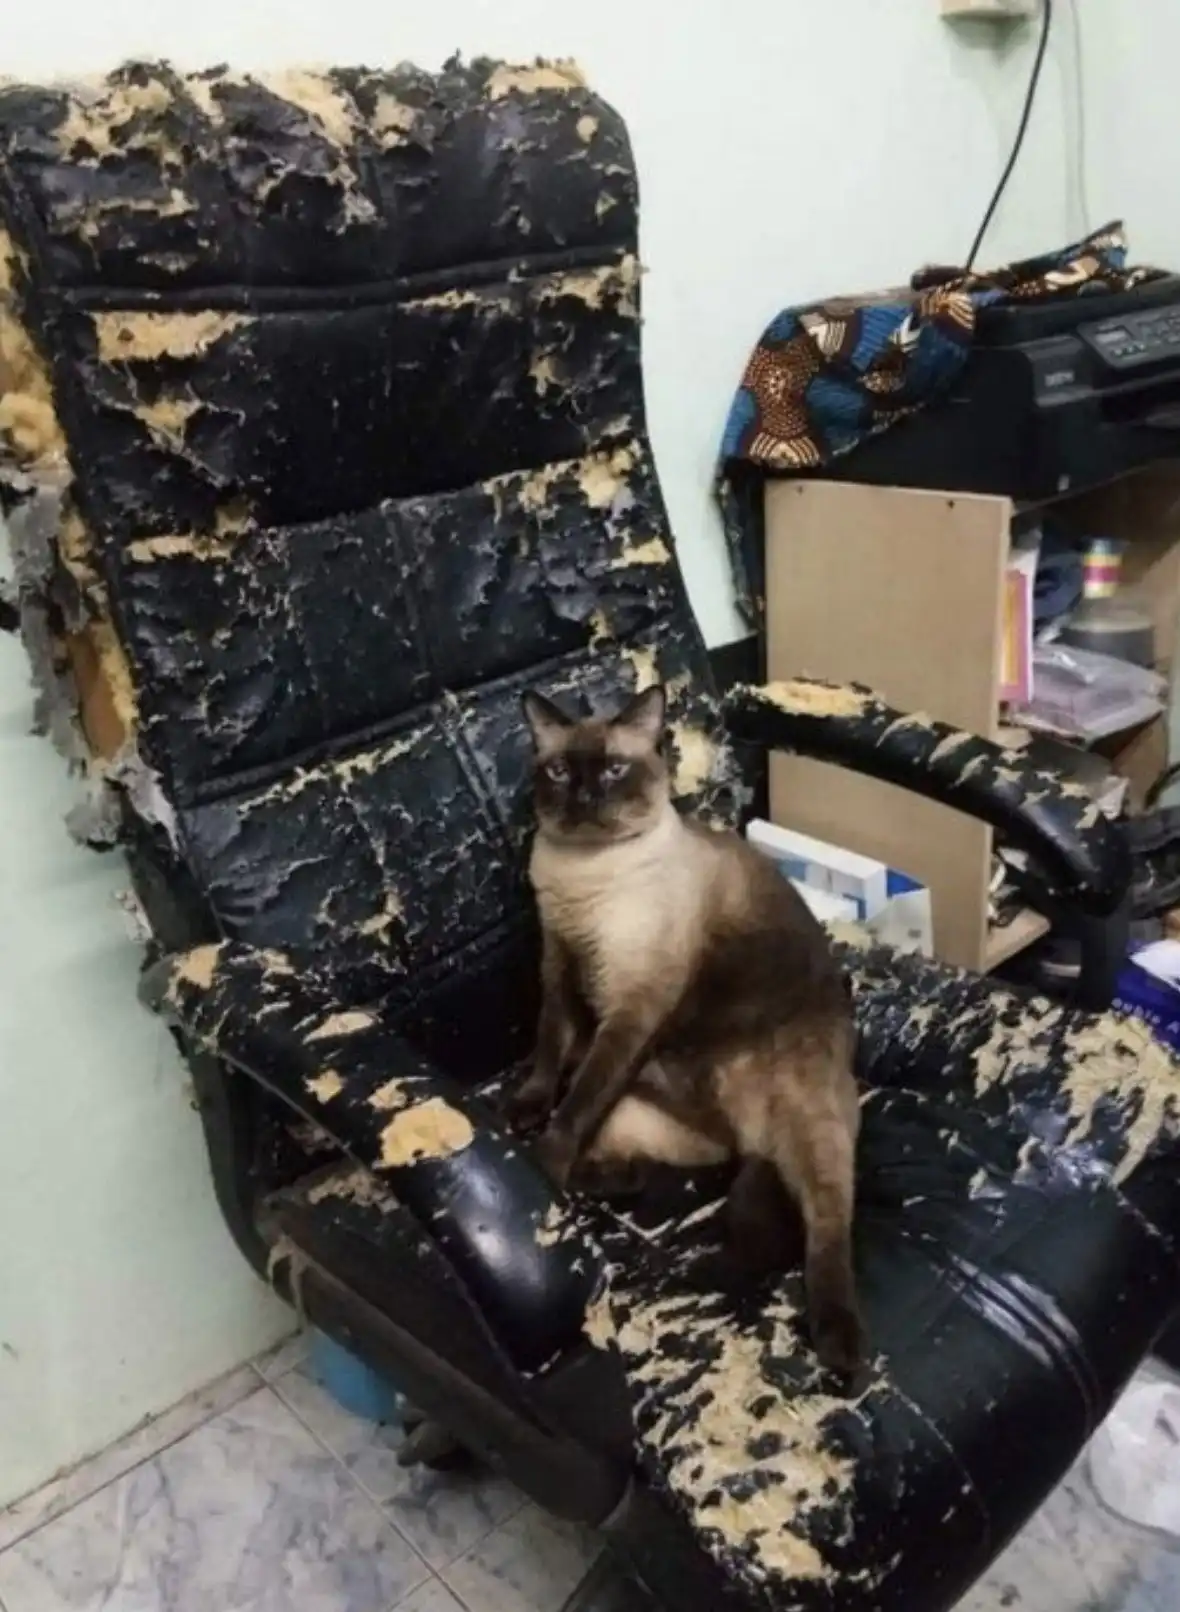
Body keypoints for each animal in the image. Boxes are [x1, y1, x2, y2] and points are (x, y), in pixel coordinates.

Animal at [508, 682, 866, 1380]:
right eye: (560, 771)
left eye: (613, 770)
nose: (584, 797)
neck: (582, 878)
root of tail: (749, 1138)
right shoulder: (559, 967)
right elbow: (549, 1052)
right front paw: (530, 1111)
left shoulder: (632, 1006)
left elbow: (577, 1098)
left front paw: (541, 1163)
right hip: (644, 1111)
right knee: (638, 1169)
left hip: (810, 1123)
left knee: (828, 1225)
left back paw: (841, 1346)